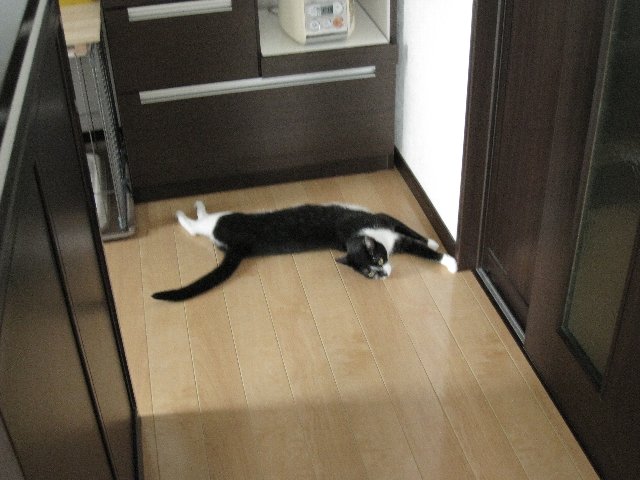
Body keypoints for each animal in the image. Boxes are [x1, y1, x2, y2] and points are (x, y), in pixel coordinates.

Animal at [152, 201, 457, 301]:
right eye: (372, 270)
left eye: (378, 262)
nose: (385, 273)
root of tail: (242, 247)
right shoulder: (383, 222)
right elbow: (413, 239)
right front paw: (448, 259)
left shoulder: (387, 224)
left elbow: (412, 233)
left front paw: (432, 242)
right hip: (228, 220)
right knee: (198, 226)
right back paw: (189, 210)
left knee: (199, 228)